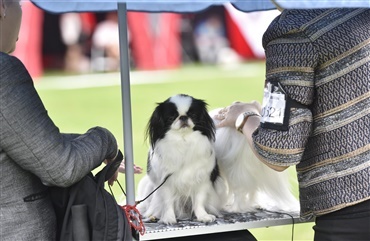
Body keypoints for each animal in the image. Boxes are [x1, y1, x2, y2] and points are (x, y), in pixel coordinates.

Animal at [137, 93, 227, 224]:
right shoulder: (166, 182)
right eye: (171, 117)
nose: (183, 117)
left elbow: (199, 201)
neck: (183, 140)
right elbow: (168, 202)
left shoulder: (201, 180)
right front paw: (169, 218)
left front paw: (203, 216)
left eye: (193, 115)